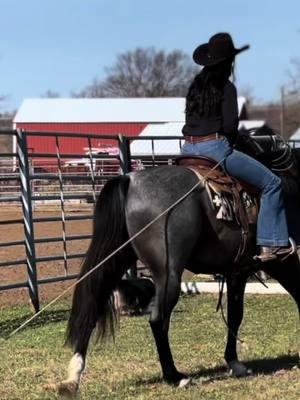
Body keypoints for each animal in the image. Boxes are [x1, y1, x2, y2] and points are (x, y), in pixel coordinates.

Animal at [56, 134, 300, 394]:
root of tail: (130, 180)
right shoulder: (279, 261)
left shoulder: (237, 271)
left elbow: (235, 314)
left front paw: (234, 362)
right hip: (168, 273)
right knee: (158, 320)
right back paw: (175, 376)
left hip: (114, 261)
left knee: (91, 307)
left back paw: (73, 377)